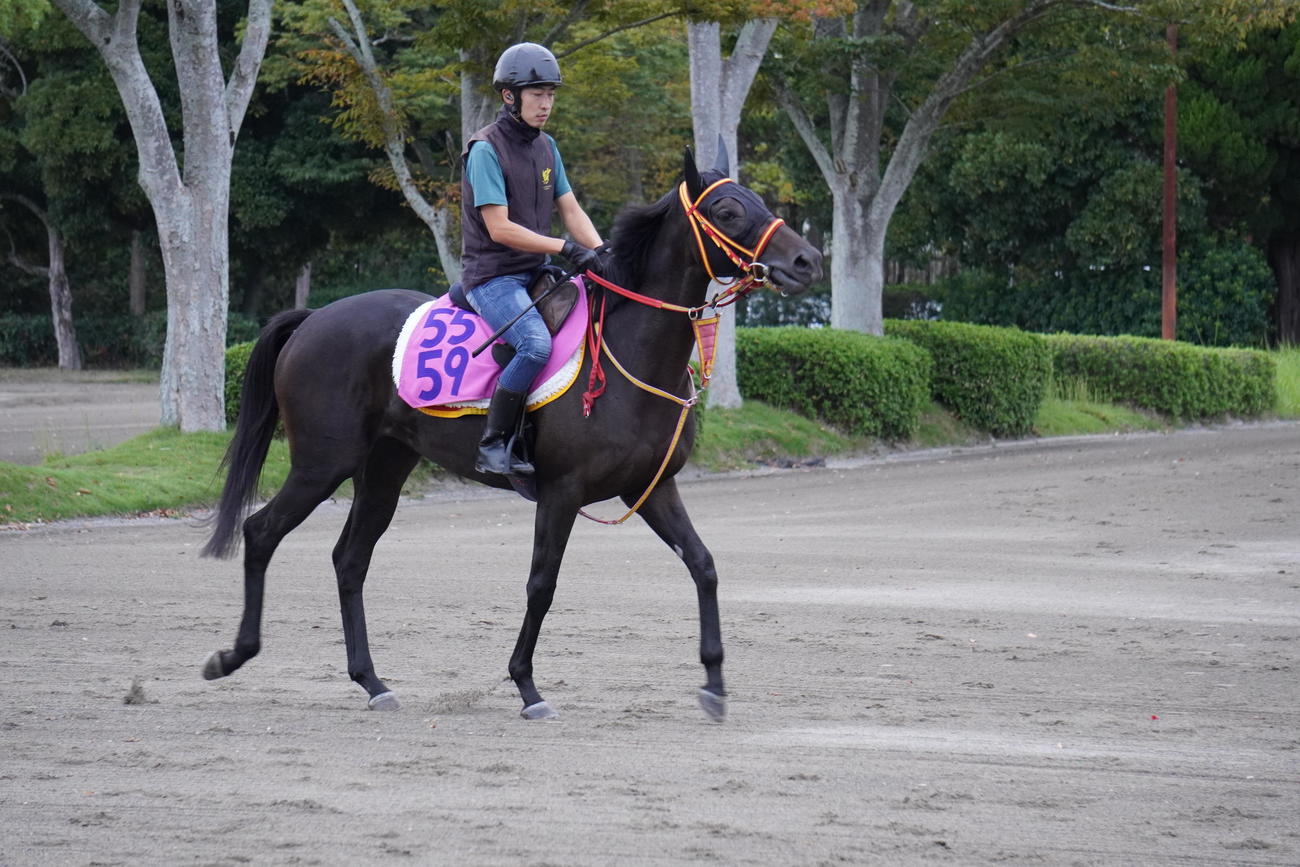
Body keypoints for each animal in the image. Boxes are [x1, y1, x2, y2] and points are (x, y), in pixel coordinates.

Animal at [200, 145, 823, 721]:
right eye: (727, 210)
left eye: (757, 200)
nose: (808, 259)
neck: (629, 351)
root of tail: (313, 319)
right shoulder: (561, 493)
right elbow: (541, 585)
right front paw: (527, 686)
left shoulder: (652, 488)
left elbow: (704, 565)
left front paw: (714, 682)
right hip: (321, 465)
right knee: (260, 533)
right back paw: (233, 655)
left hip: (384, 469)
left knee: (349, 560)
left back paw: (372, 682)